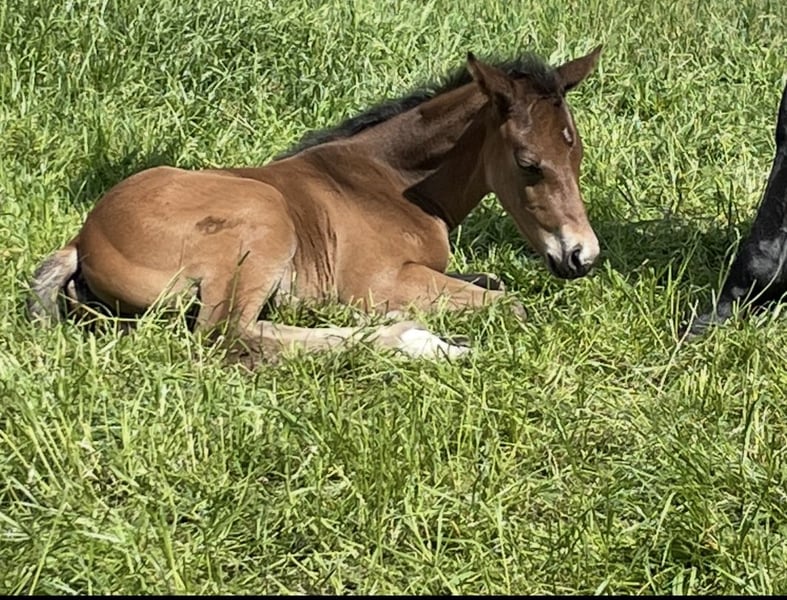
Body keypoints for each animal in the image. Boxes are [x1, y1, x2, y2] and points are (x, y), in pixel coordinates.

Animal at [27, 47, 603, 360]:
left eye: (576, 153)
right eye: (529, 163)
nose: (583, 256)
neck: (388, 182)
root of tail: (83, 236)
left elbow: (493, 283)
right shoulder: (379, 281)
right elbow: (510, 304)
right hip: (261, 217)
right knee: (227, 332)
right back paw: (417, 341)